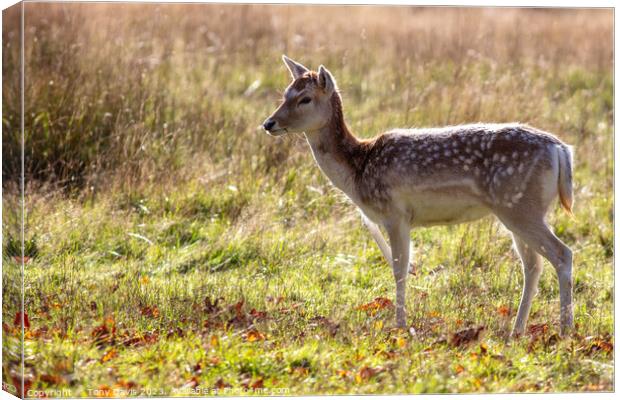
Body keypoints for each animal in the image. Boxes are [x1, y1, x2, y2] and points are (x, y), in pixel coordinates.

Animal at [260, 55, 572, 338]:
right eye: (286, 93)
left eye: (305, 99)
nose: (269, 123)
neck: (358, 168)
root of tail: (560, 149)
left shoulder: (395, 213)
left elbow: (400, 269)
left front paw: (399, 326)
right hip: (518, 209)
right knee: (533, 266)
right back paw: (517, 331)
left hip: (520, 207)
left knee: (561, 254)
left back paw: (565, 330)